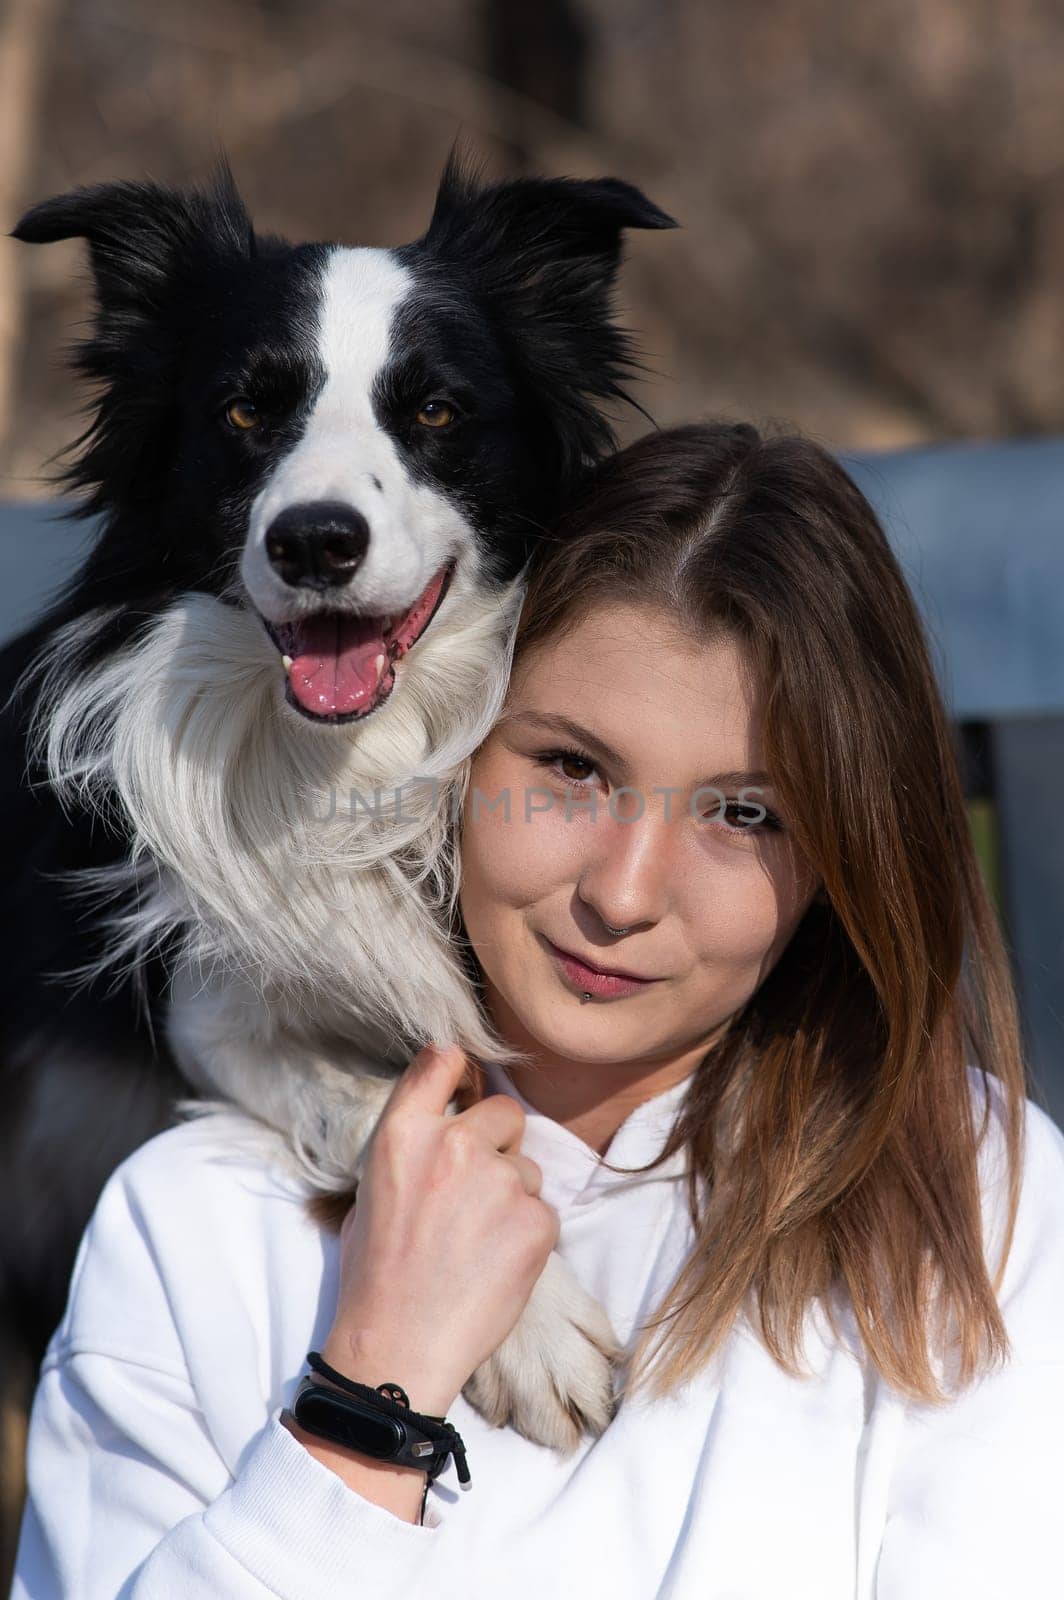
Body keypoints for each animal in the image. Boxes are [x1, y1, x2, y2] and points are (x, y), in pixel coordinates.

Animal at [0, 152, 675, 1465]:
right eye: (244, 412)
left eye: (436, 412)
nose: (315, 541)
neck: (356, 759)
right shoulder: (208, 1004)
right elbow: (368, 1104)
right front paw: (535, 1330)